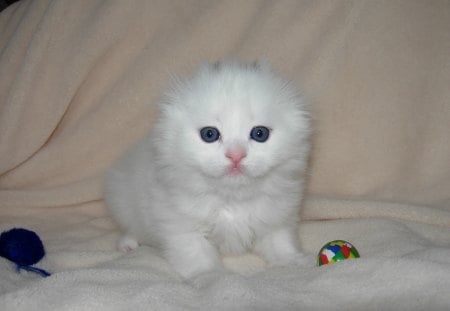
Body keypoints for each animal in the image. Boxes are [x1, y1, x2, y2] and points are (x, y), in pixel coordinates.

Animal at [104, 61, 312, 280]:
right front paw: (212, 277)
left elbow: (281, 243)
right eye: (209, 134)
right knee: (133, 226)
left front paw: (295, 262)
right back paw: (128, 243)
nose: (236, 155)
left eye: (259, 133)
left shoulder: (276, 219)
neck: (232, 199)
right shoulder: (183, 228)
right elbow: (199, 257)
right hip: (124, 201)